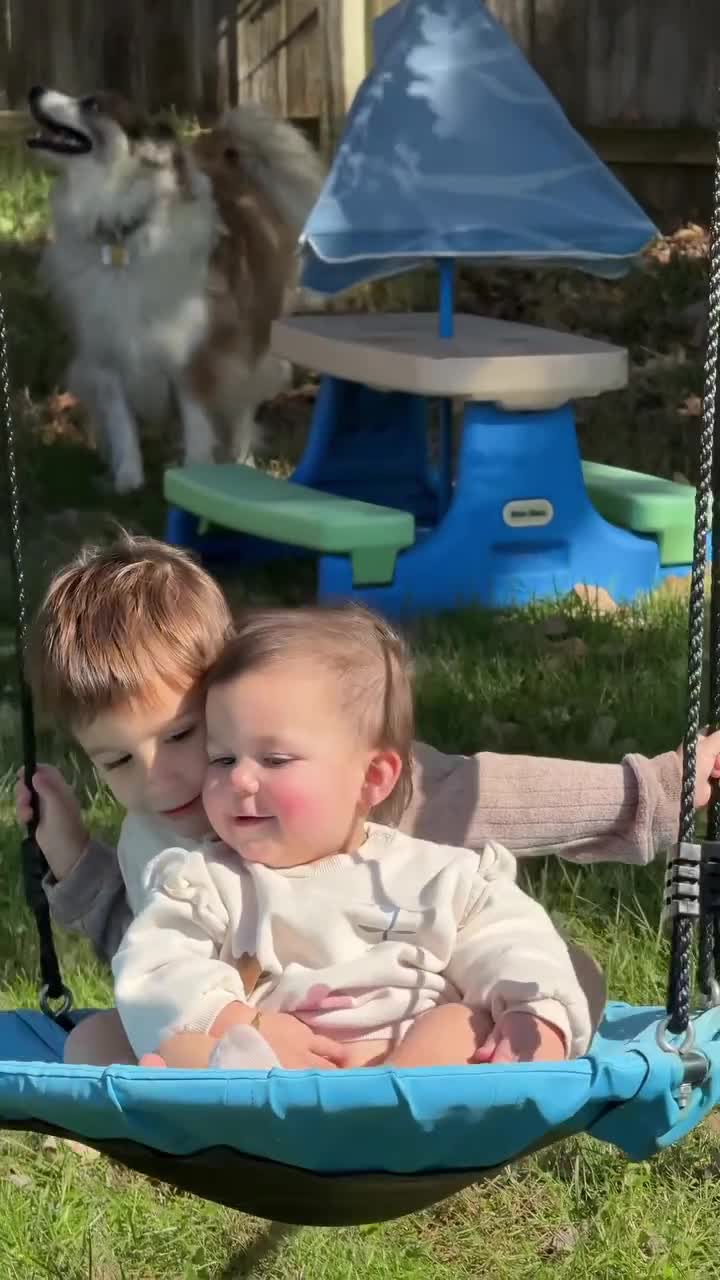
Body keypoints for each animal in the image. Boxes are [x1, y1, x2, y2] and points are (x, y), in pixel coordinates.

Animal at [27, 87, 325, 492]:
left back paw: (243, 462)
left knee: (242, 407)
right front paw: (128, 481)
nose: (34, 91)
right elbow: (122, 423)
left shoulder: (194, 358)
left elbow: (198, 423)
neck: (125, 234)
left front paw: (195, 475)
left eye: (93, 104)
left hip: (252, 339)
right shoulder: (107, 355)